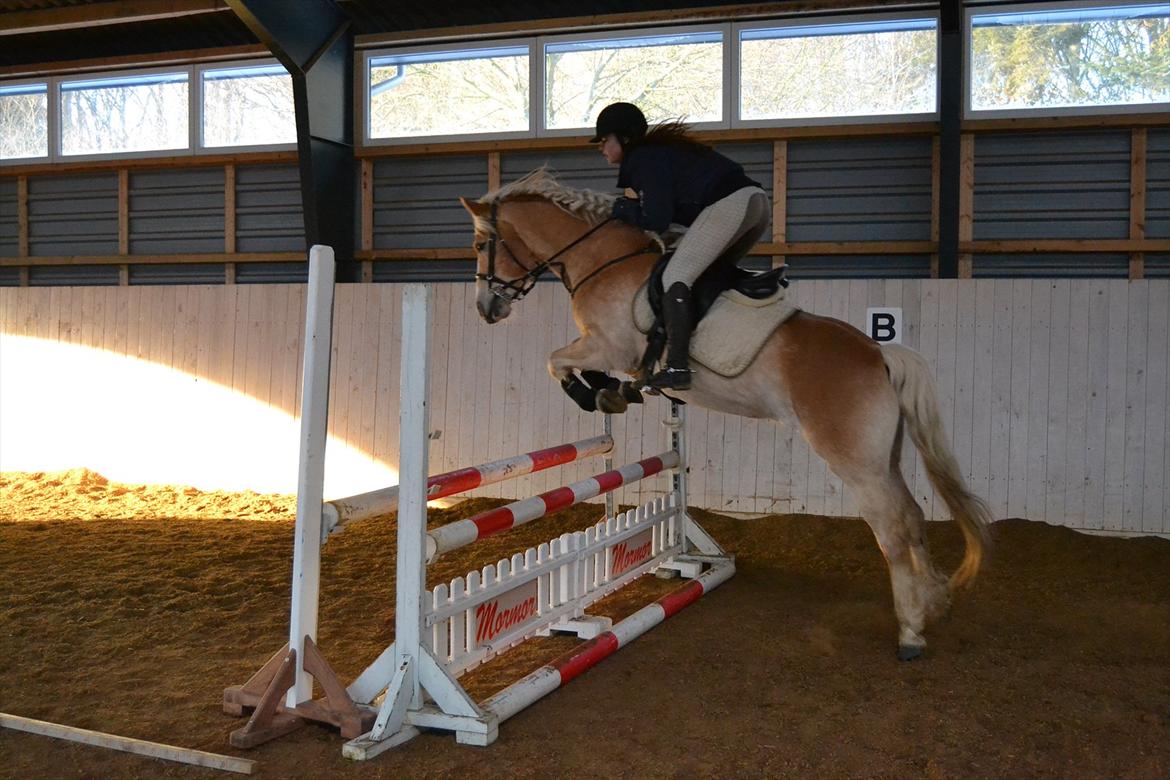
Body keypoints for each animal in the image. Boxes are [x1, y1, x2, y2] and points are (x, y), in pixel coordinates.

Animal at [458, 169, 992, 660]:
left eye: (482, 244)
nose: (485, 308)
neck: (600, 259)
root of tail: (878, 354)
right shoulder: (606, 350)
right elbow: (578, 366)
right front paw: (615, 392)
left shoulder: (608, 345)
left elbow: (556, 361)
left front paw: (597, 395)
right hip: (886, 457)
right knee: (913, 516)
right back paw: (934, 603)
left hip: (856, 461)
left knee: (893, 529)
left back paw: (910, 632)